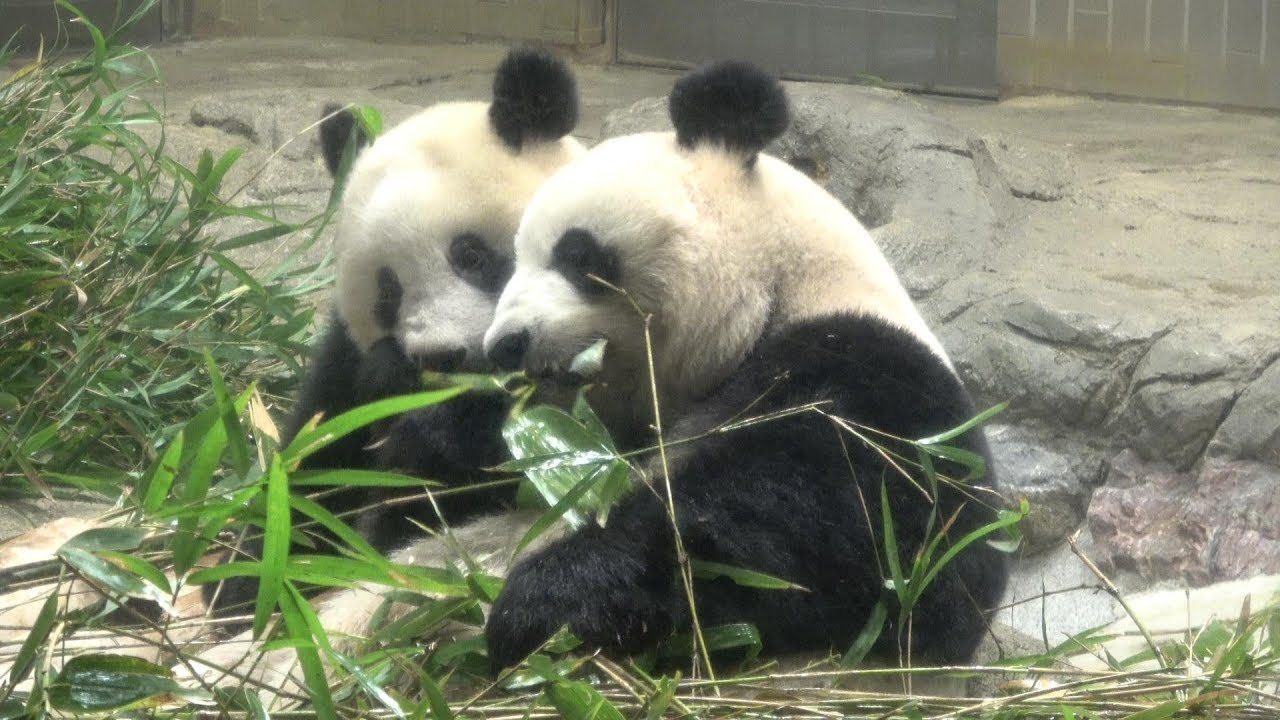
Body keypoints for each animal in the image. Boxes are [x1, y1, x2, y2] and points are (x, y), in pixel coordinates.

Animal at [203, 47, 584, 615]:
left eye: (471, 255)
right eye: (388, 290)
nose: (442, 355)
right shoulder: (344, 365)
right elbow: (317, 474)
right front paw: (248, 585)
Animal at [479, 60, 1009, 668]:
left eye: (576, 253)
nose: (504, 344)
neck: (776, 289)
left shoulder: (877, 373)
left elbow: (866, 526)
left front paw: (544, 600)